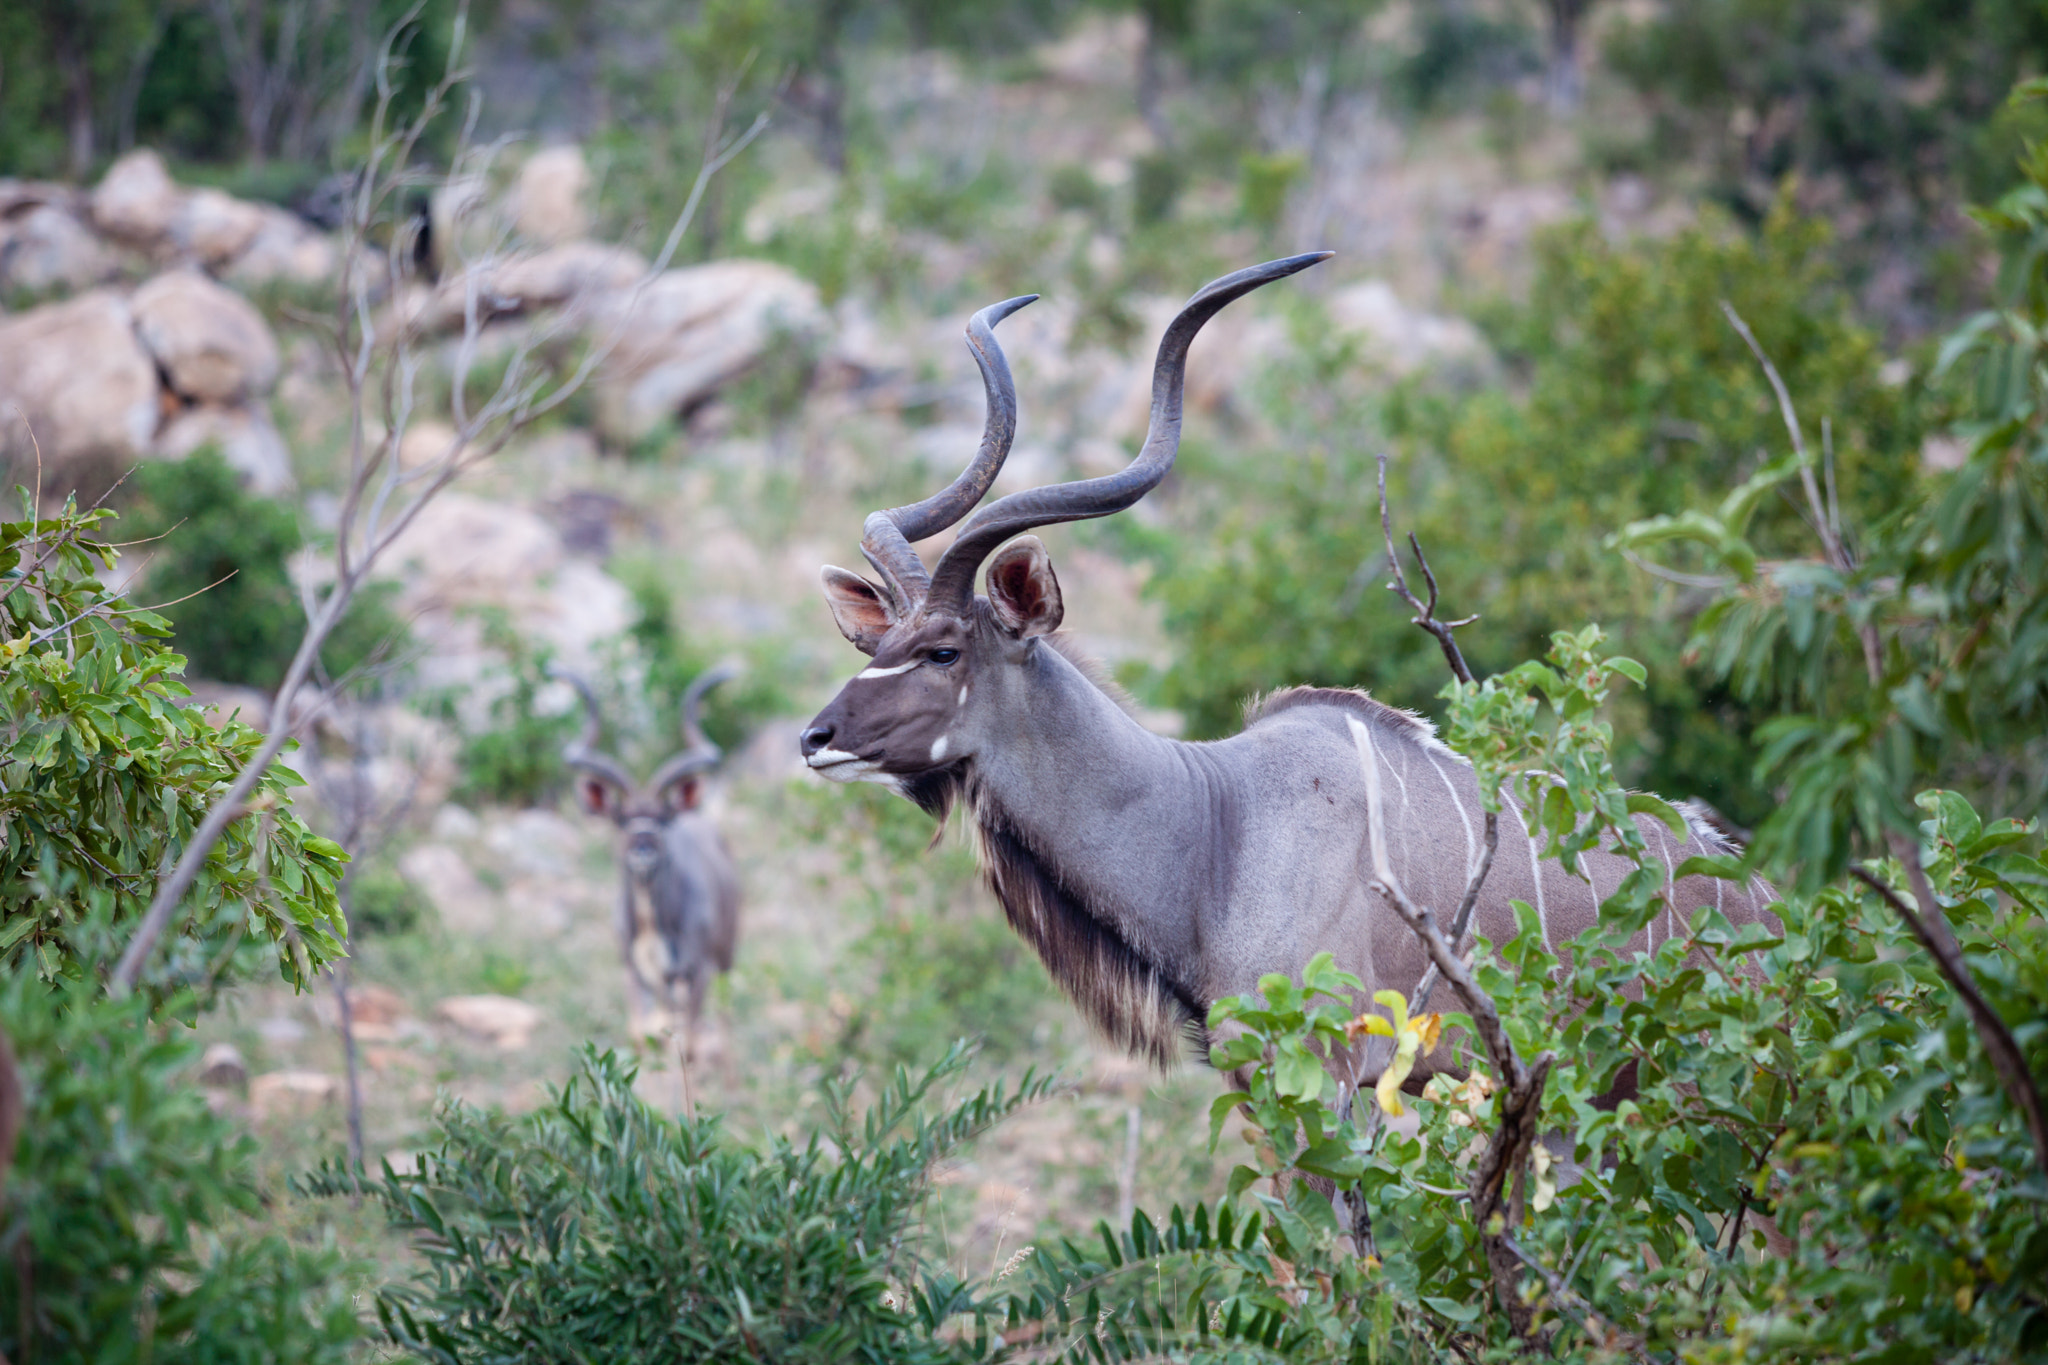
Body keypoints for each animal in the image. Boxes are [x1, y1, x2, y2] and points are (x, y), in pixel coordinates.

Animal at [561, 663, 745, 1055]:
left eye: (661, 820)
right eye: (622, 820)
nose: (642, 849)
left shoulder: (698, 970)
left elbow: (690, 1044)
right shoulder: (634, 974)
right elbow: (642, 1035)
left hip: (724, 959)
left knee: (724, 1027)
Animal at [798, 250, 1777, 1096]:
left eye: (944, 650)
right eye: (874, 648)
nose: (816, 738)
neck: (1215, 824)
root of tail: (1764, 894)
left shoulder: (1338, 1073)